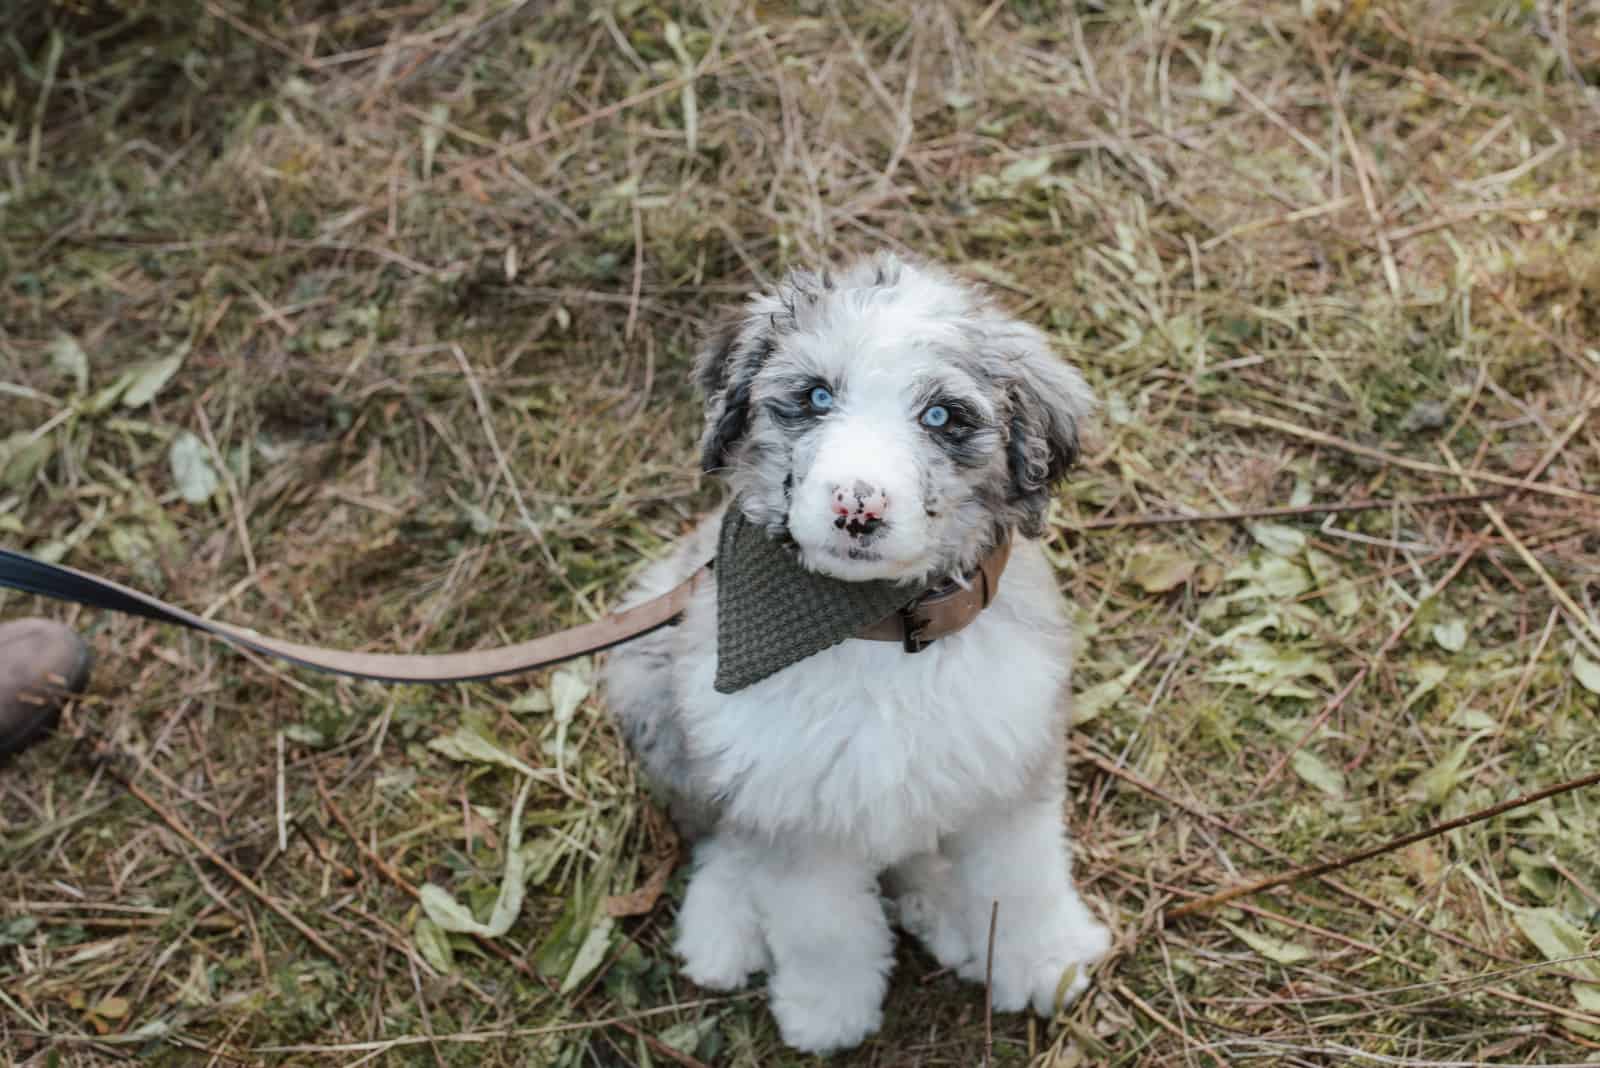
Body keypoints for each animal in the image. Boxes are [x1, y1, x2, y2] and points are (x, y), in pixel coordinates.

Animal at [601, 252, 1113, 1048]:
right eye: (815, 397)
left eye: (942, 417)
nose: (857, 508)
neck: (876, 627)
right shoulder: (789, 798)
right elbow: (822, 924)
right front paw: (828, 1009)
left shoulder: (1008, 760)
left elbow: (1021, 878)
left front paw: (1042, 961)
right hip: (649, 680)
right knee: (717, 831)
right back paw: (723, 924)